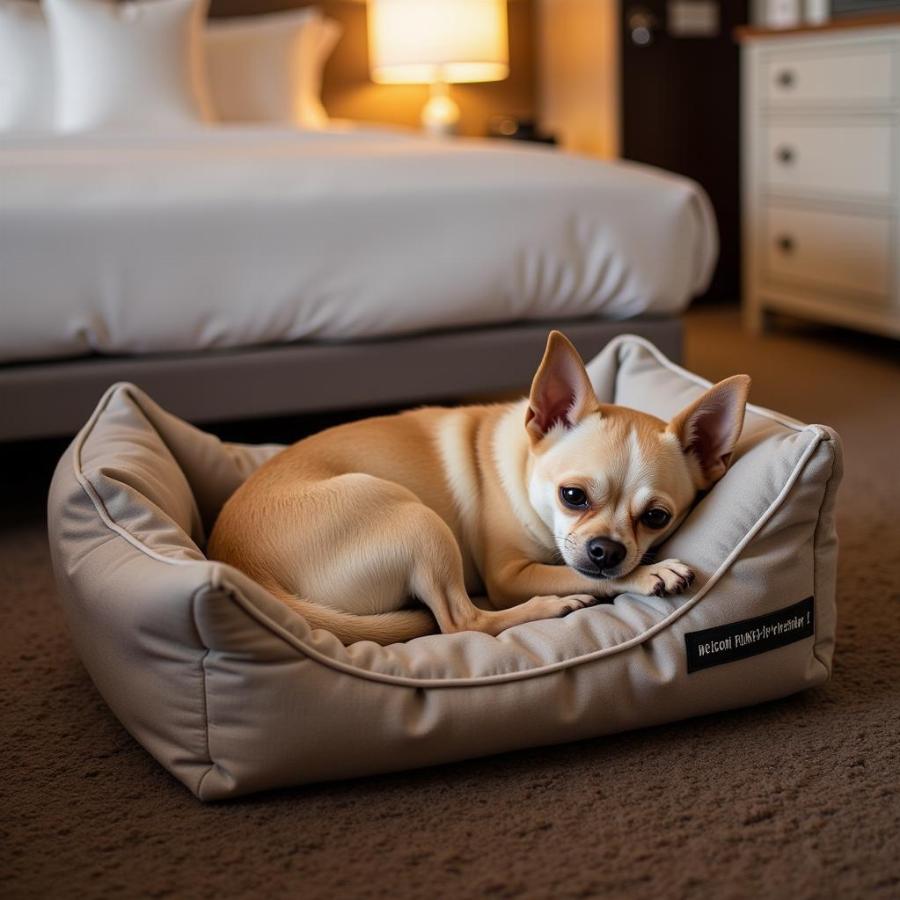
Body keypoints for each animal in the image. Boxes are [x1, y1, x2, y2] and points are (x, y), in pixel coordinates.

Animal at [207, 334, 748, 644]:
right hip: (419, 522)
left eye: (657, 518)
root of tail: (249, 571)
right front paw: (649, 573)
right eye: (572, 496)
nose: (606, 550)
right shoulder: (509, 576)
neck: (525, 463)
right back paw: (553, 606)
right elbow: (587, 577)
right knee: (463, 621)